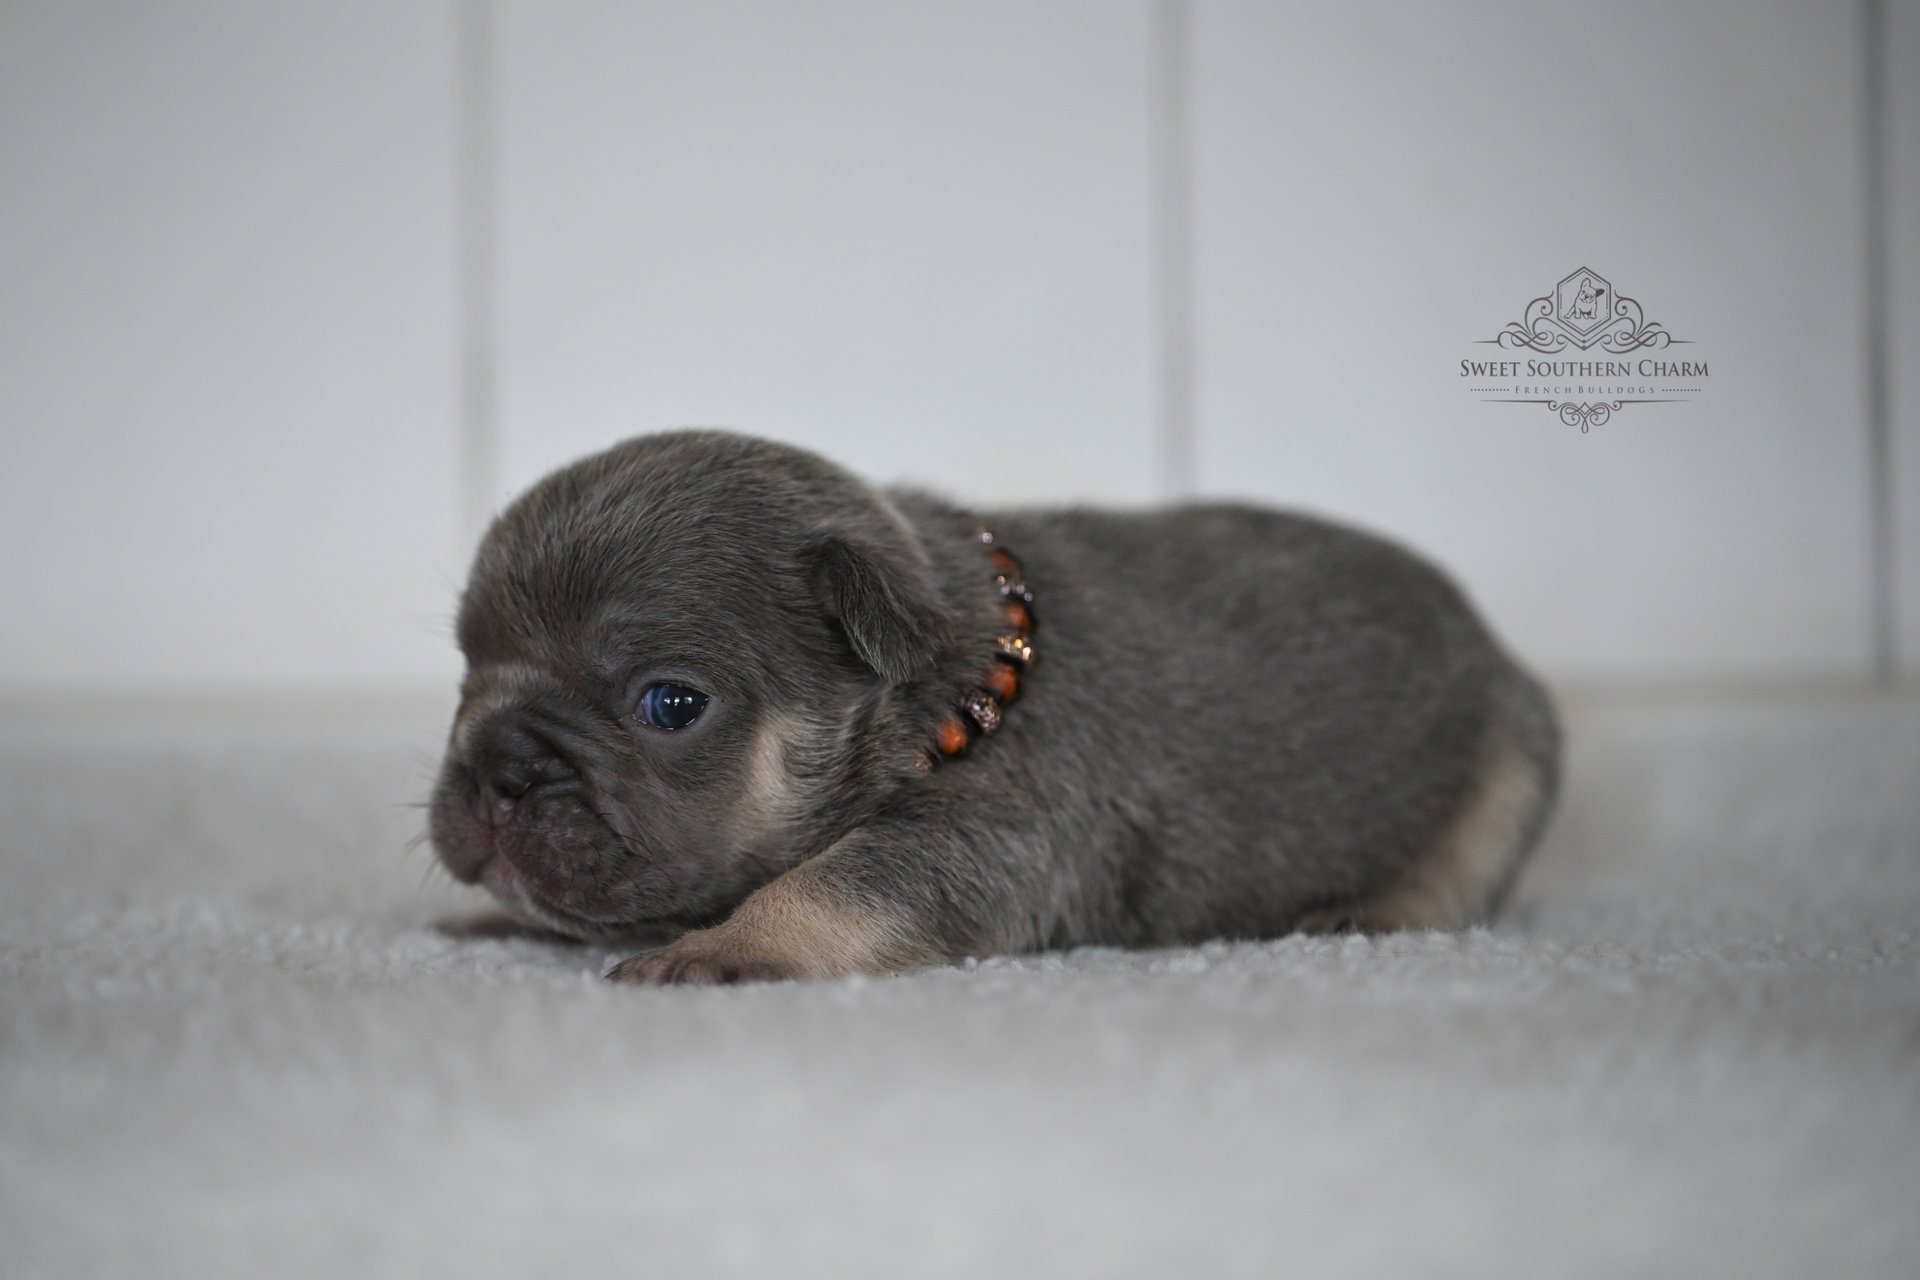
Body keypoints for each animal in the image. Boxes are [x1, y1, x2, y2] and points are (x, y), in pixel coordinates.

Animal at [429, 430, 1560, 984]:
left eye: (669, 703)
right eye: (467, 672)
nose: (499, 767)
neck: (942, 683)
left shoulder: (984, 837)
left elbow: (833, 886)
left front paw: (723, 945)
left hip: (1513, 759)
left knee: (1464, 868)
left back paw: (1374, 908)